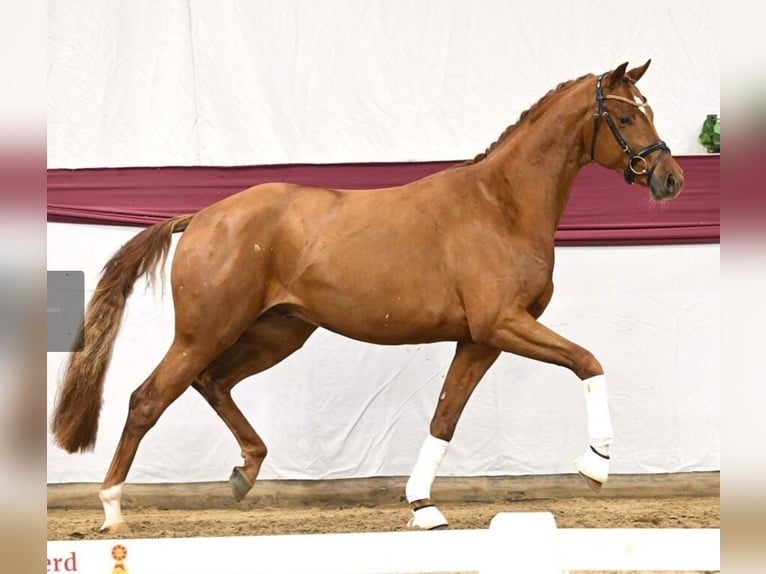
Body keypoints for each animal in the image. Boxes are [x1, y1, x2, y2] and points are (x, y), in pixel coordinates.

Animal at [51, 60, 684, 533]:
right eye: (624, 114)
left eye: (649, 108)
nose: (670, 179)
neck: (500, 206)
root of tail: (200, 218)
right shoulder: (502, 324)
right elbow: (588, 361)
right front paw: (595, 465)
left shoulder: (479, 340)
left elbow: (445, 418)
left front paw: (423, 507)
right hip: (205, 331)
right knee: (148, 399)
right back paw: (111, 510)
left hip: (279, 332)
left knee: (213, 383)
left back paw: (243, 473)